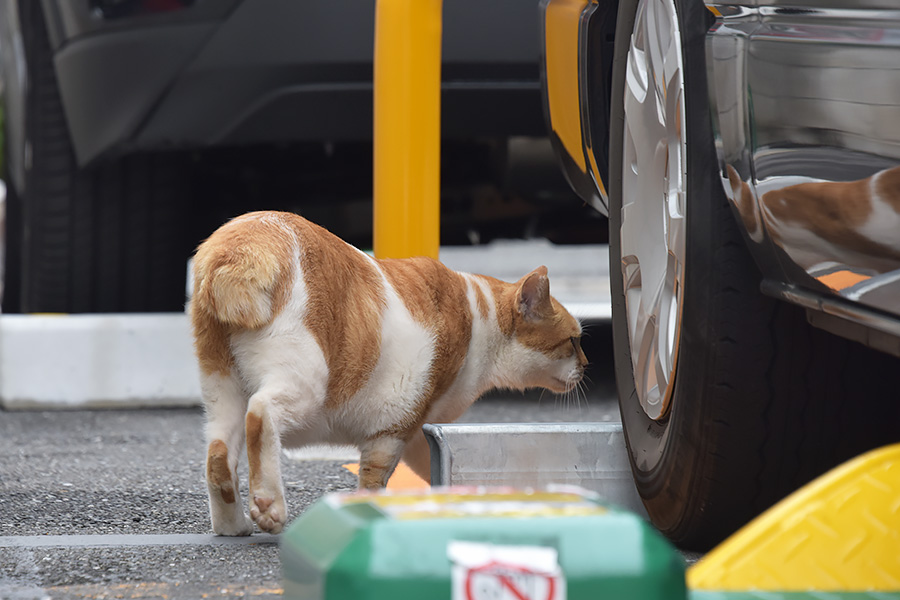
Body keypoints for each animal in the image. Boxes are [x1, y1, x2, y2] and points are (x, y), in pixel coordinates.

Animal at [188, 211, 592, 536]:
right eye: (573, 341)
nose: (587, 365)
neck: (480, 319)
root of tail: (244, 238)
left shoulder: (418, 428)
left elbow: (433, 468)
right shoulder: (393, 428)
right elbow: (375, 477)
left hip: (222, 391)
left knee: (218, 454)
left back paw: (231, 525)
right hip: (306, 383)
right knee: (260, 414)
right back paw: (269, 504)